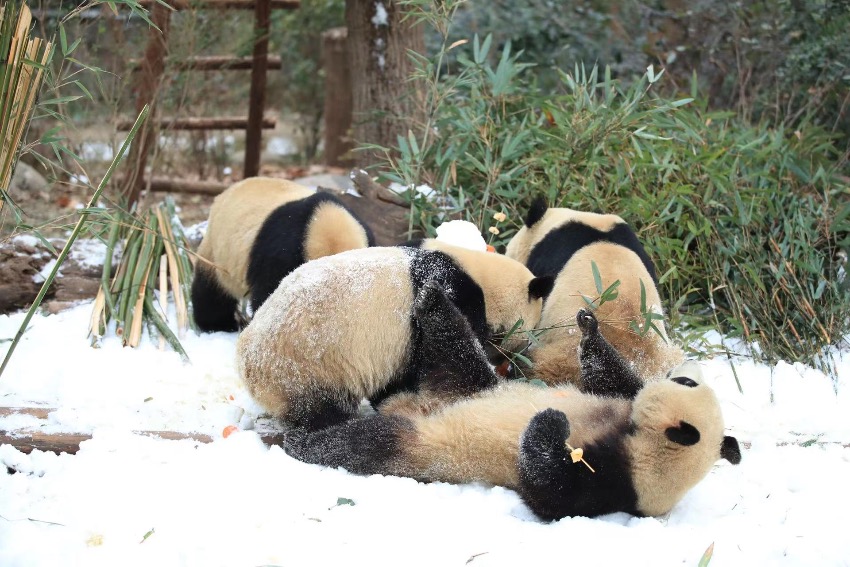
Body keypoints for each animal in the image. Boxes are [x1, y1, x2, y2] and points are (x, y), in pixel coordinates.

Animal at [236, 243, 555, 430]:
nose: (512, 359)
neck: (482, 277)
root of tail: (248, 368)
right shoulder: (450, 290)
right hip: (307, 365)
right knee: (321, 406)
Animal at [282, 293, 742, 521]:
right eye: (687, 382)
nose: (685, 370)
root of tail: (421, 405)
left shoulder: (620, 482)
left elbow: (550, 490)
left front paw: (552, 421)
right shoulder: (621, 404)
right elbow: (614, 380)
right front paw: (588, 328)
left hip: (428, 442)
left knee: (369, 442)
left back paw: (300, 442)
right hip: (472, 384)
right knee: (452, 342)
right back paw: (433, 295)